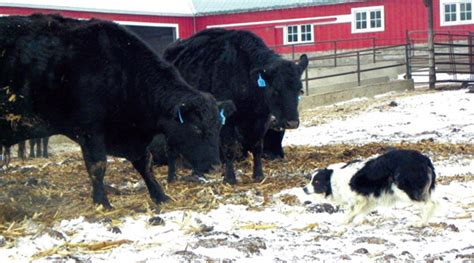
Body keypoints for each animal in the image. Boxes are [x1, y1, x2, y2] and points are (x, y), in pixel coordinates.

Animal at [1, 14, 228, 209]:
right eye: (196, 128)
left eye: (218, 127)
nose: (216, 166)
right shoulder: (90, 131)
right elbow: (98, 166)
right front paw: (102, 203)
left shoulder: (132, 138)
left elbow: (144, 163)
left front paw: (160, 195)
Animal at [165, 28, 310, 185]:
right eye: (275, 90)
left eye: (300, 90)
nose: (292, 123)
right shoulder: (227, 120)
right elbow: (229, 148)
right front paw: (230, 178)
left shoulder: (261, 119)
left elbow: (257, 146)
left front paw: (258, 174)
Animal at [304, 151, 436, 227]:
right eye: (311, 179)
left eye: (316, 182)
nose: (304, 189)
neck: (333, 180)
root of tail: (425, 159)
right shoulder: (369, 199)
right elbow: (362, 211)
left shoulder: (359, 198)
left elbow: (352, 211)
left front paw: (343, 222)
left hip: (404, 190)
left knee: (430, 204)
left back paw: (421, 223)